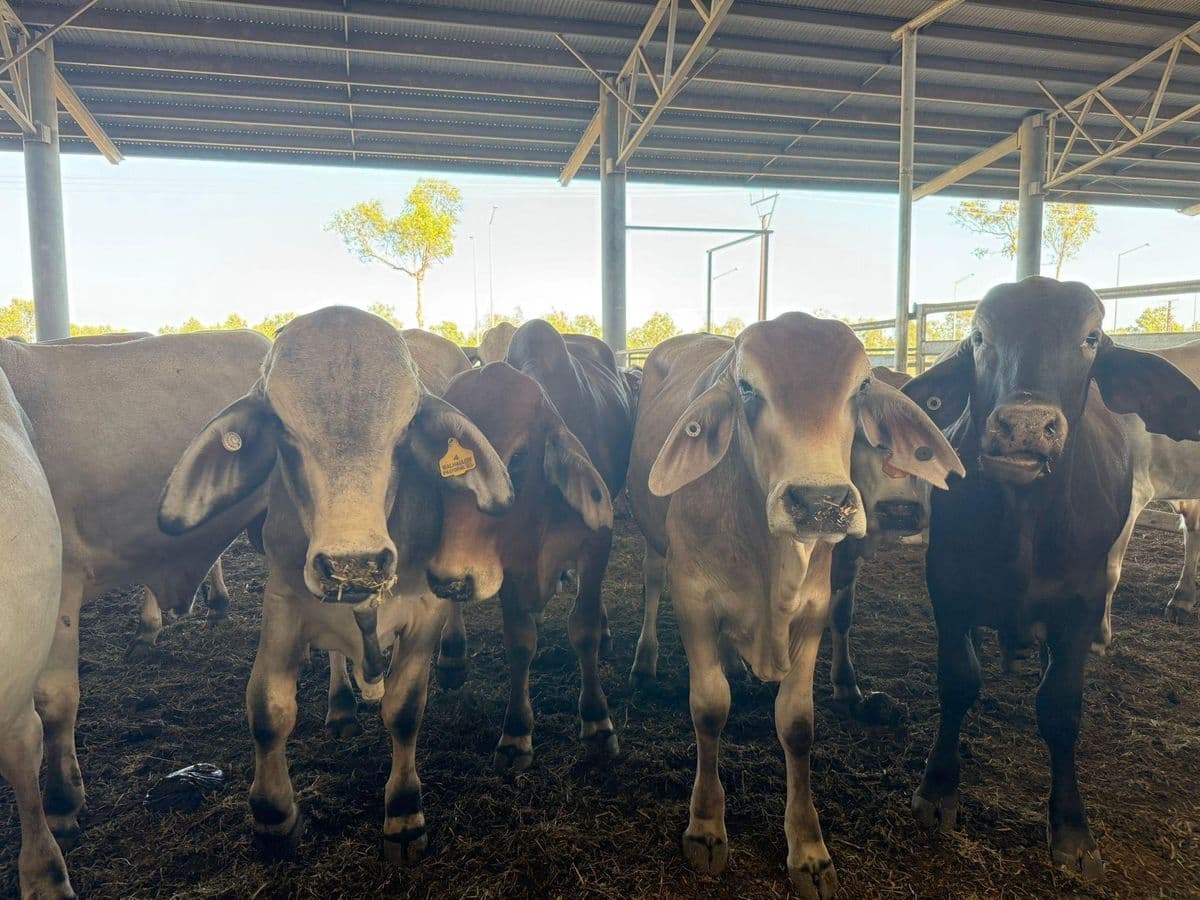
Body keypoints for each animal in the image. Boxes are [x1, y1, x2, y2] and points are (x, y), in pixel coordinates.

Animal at [159, 307, 513, 860]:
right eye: (282, 429)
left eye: (406, 429)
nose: (355, 563)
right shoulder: (284, 599)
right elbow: (267, 707)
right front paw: (273, 813)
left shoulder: (423, 612)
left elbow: (404, 710)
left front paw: (404, 812)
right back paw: (342, 703)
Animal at [425, 321, 635, 771]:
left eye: (517, 457)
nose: (451, 577)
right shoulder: (504, 563)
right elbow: (520, 641)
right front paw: (516, 733)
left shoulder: (598, 541)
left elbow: (584, 628)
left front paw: (597, 722)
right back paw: (452, 656)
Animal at [626, 314, 961, 894]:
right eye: (745, 388)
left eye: (862, 388)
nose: (820, 503)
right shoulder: (692, 598)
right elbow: (708, 708)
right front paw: (706, 826)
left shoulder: (814, 610)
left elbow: (798, 725)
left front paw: (808, 851)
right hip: (655, 542)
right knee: (650, 583)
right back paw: (646, 659)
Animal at [902, 277, 1200, 880]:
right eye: (979, 336)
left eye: (1091, 338)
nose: (1024, 426)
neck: (1024, 522)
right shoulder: (947, 586)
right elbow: (958, 680)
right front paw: (938, 789)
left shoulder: (1082, 601)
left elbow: (1060, 707)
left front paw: (1071, 829)